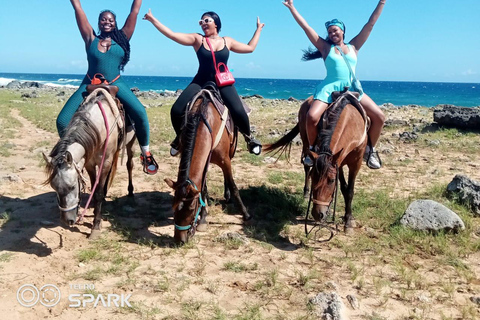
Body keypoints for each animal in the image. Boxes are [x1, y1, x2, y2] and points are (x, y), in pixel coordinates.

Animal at [44, 89, 136, 239]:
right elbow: (94, 188)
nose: (67, 221)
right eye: (54, 187)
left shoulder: (105, 162)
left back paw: (131, 192)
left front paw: (96, 226)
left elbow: (97, 193)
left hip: (130, 144)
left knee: (130, 165)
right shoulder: (89, 164)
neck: (99, 129)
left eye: (72, 186)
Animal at [166, 87, 251, 242]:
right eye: (173, 205)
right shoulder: (204, 162)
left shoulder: (225, 160)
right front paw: (204, 218)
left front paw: (246, 215)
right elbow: (203, 190)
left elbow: (233, 186)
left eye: (191, 208)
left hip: (231, 151)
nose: (179, 239)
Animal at [266, 92, 368, 232]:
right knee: (306, 166)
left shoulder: (352, 162)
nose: (317, 214)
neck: (351, 122)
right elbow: (344, 188)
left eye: (331, 180)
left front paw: (348, 220)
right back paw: (305, 193)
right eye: (313, 177)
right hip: (305, 141)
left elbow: (348, 190)